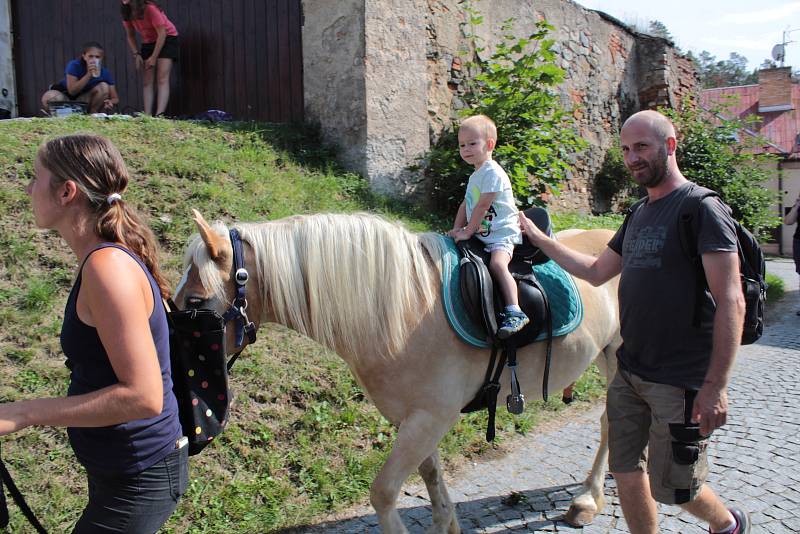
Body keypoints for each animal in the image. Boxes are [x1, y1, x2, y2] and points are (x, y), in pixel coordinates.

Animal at [178, 211, 620, 534]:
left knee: (610, 423)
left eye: (196, 301)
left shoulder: (430, 417)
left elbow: (384, 493)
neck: (407, 312)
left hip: (619, 360)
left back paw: (588, 498)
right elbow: (432, 477)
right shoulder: (414, 418)